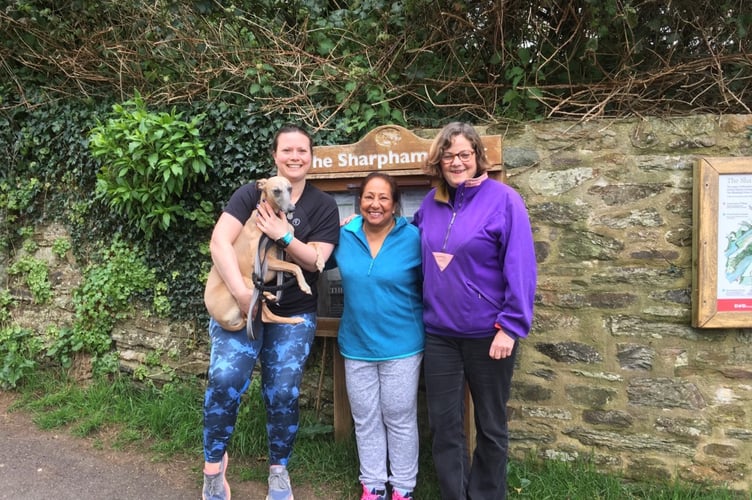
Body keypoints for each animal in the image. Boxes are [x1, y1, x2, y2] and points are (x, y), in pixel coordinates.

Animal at [204, 176, 322, 336]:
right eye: (276, 191)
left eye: (290, 188)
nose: (292, 208)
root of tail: (220, 320)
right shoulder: (265, 260)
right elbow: (295, 266)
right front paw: (305, 286)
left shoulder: (286, 250)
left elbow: (312, 246)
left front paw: (320, 261)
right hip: (246, 283)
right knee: (266, 316)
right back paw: (292, 319)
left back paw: (269, 296)